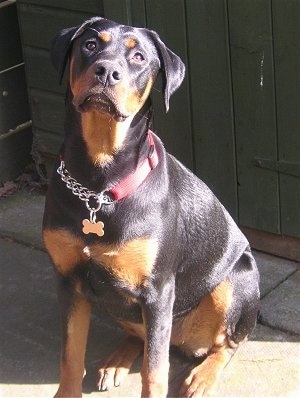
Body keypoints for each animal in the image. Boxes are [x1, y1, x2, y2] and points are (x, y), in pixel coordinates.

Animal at [42, 16, 260, 398]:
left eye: (139, 57)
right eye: (89, 45)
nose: (106, 71)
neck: (99, 184)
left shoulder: (157, 289)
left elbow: (154, 370)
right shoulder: (69, 280)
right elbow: (70, 356)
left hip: (238, 281)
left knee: (227, 343)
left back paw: (202, 377)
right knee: (139, 335)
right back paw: (117, 360)